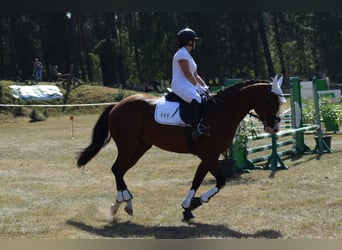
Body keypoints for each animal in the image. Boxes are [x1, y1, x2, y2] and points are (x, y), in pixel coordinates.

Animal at [77, 80, 284, 221]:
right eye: (269, 101)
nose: (274, 128)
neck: (222, 111)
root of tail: (117, 105)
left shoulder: (208, 156)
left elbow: (198, 180)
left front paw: (188, 207)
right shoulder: (209, 156)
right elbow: (221, 181)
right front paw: (196, 202)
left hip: (140, 147)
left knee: (120, 171)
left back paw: (118, 205)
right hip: (127, 146)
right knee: (117, 169)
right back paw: (125, 200)